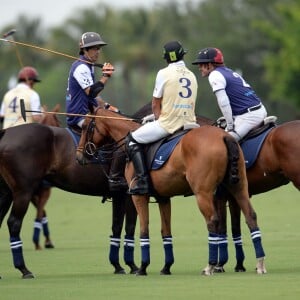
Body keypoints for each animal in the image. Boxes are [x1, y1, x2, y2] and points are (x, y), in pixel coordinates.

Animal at [75, 108, 268, 276]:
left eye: (85, 127)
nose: (79, 157)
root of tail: (224, 136)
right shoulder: (163, 198)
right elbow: (165, 231)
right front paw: (166, 267)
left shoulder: (138, 196)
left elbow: (144, 229)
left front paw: (142, 268)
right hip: (239, 187)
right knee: (251, 216)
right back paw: (260, 263)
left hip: (203, 193)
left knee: (213, 221)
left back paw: (210, 266)